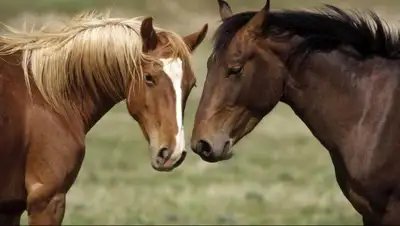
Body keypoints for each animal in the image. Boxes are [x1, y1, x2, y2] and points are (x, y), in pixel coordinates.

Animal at [0, 11, 208, 224]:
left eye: (191, 84)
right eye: (149, 77)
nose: (173, 153)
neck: (45, 95)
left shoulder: (10, 209)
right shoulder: (47, 199)